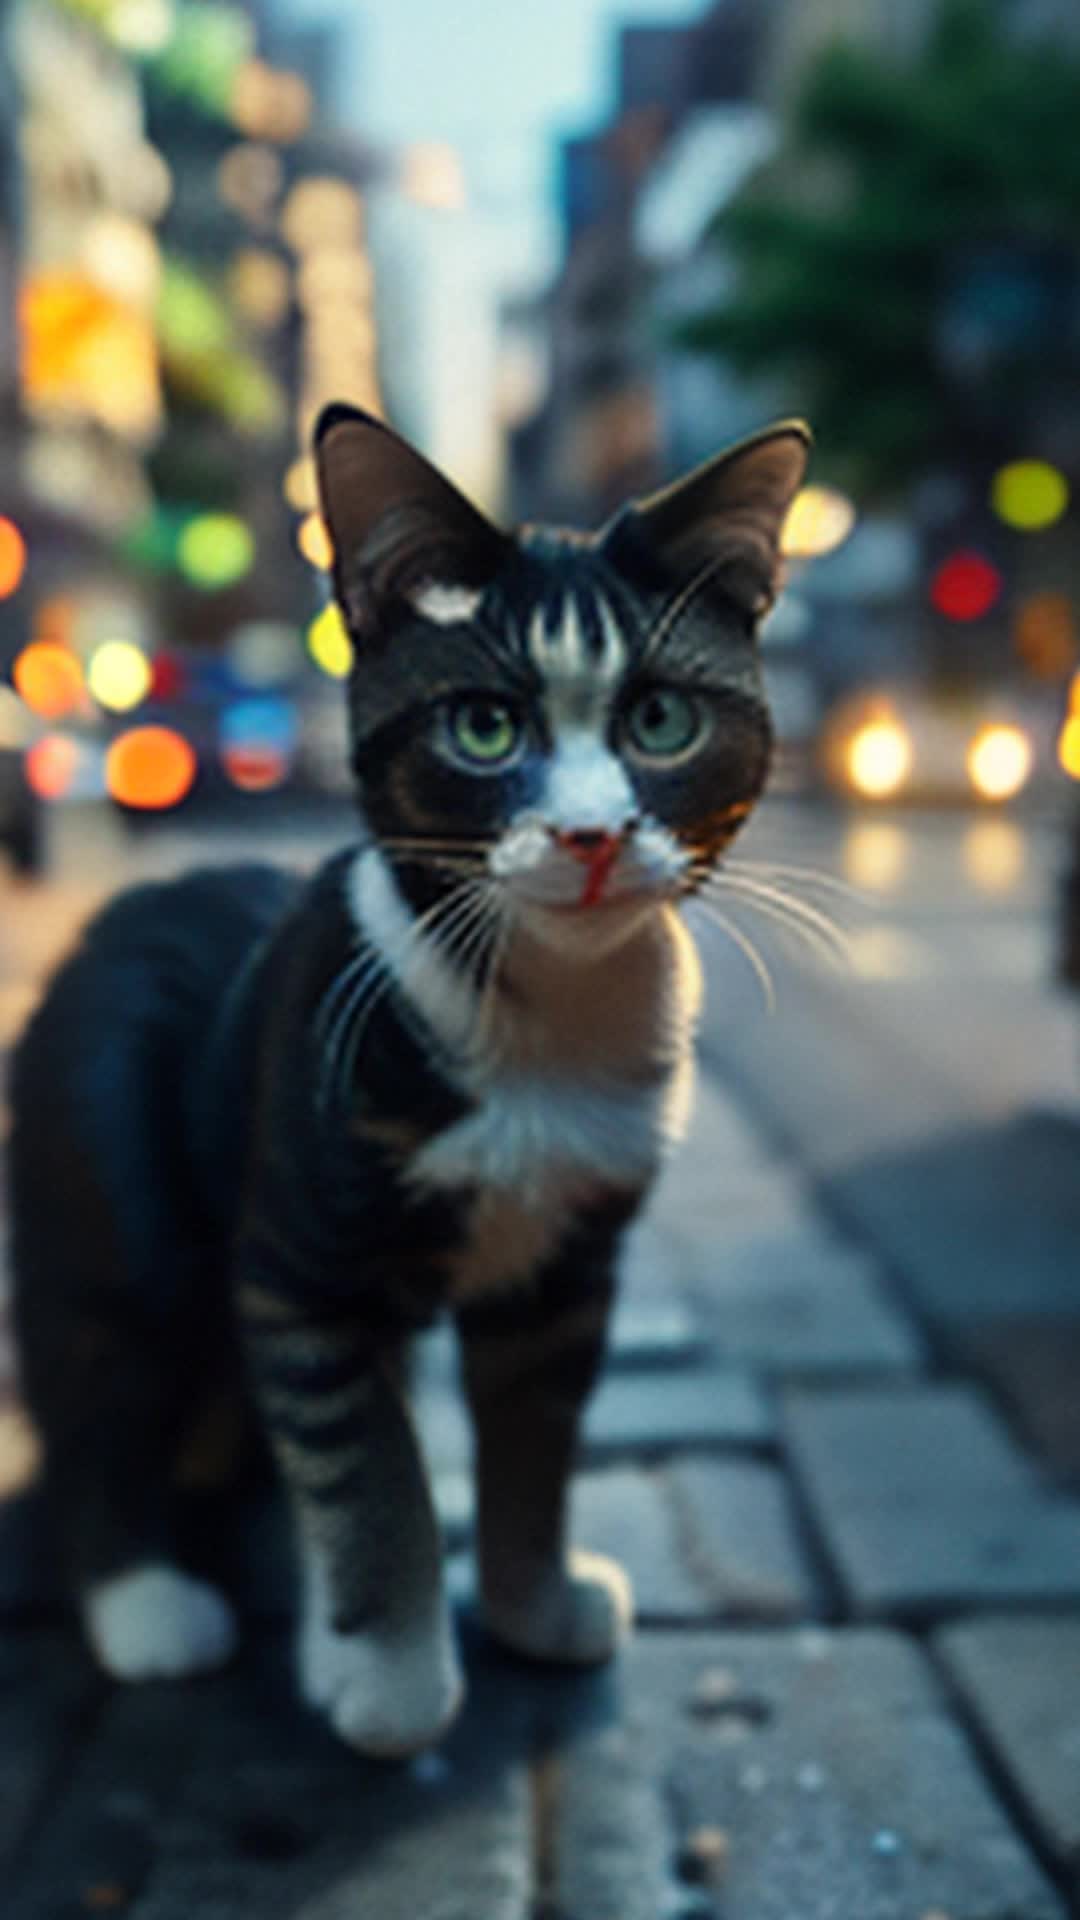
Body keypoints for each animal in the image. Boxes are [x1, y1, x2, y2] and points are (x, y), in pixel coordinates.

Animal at [4, 401, 803, 1758]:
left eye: (661, 722)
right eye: (483, 727)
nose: (591, 836)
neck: (541, 1027)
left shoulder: (565, 1279)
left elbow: (535, 1446)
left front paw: (532, 1602)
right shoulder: (302, 1270)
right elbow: (368, 1475)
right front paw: (391, 1683)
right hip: (108, 1186)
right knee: (96, 1385)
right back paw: (149, 1603)